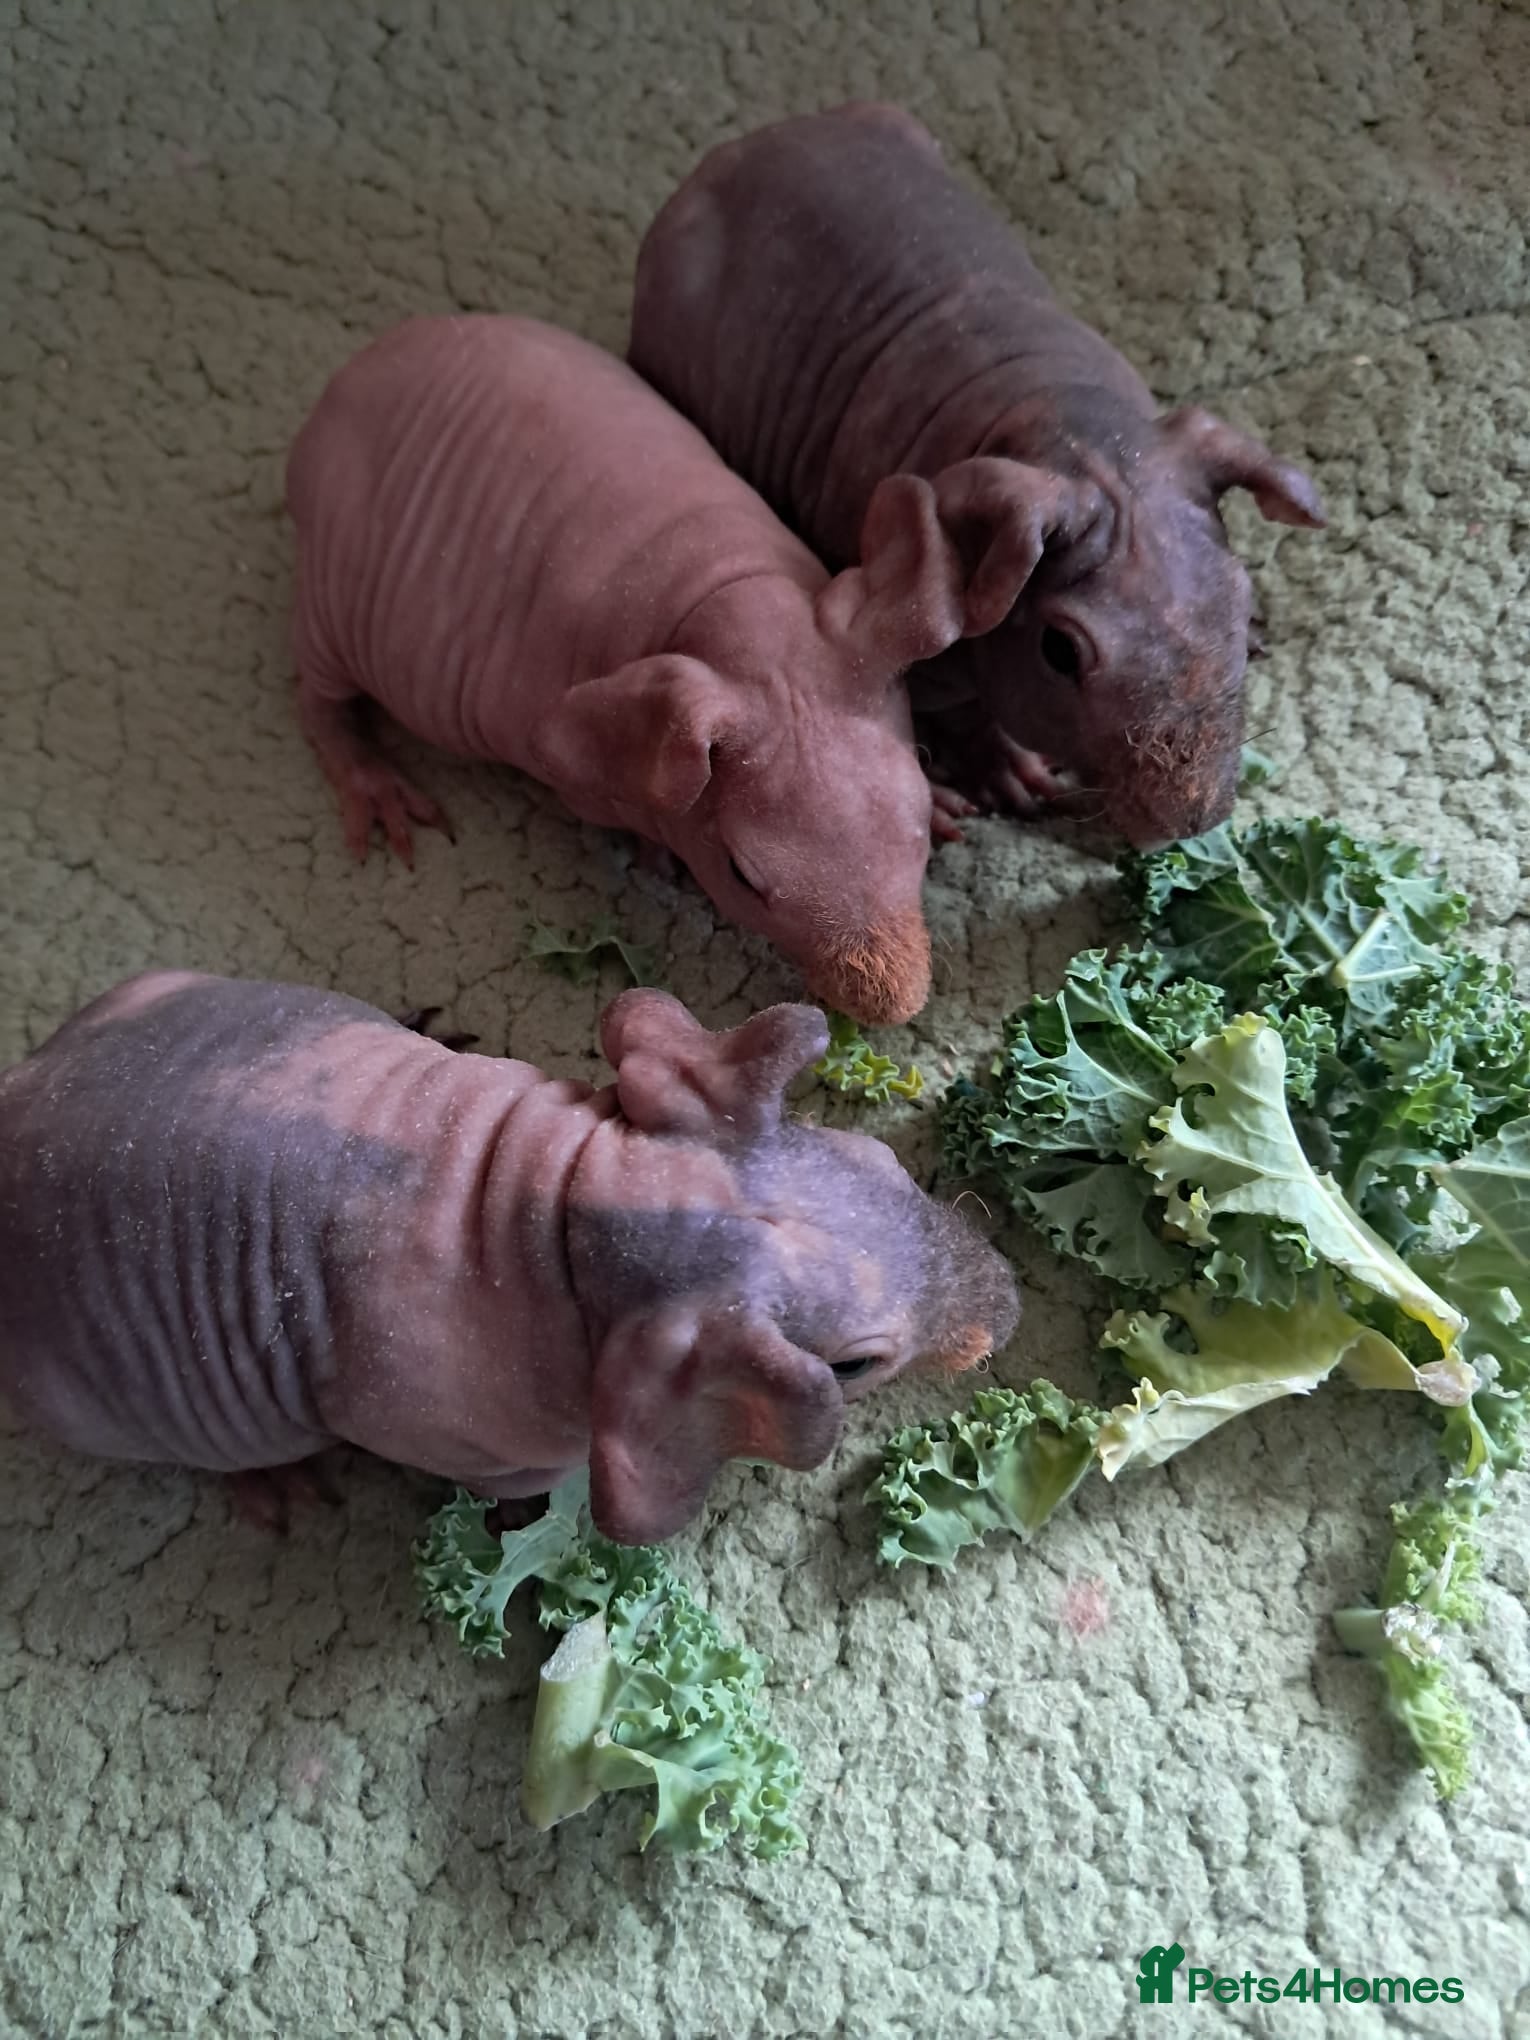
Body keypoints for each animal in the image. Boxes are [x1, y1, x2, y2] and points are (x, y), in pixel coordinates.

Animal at [0, 972, 1019, 1545]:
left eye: (882, 1162)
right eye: (854, 1367)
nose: (1008, 1305)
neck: (563, 1209)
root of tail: (16, 1096)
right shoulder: (477, 1439)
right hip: (111, 1399)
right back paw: (265, 1478)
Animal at [286, 313, 992, 1027]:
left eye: (916, 815)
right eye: (741, 875)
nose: (892, 1003)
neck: (729, 596)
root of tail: (336, 395)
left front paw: (951, 799)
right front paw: (658, 851)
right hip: (331, 590)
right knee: (317, 697)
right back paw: (370, 779)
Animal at [627, 102, 1327, 849]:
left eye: (1240, 605)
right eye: (1060, 651)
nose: (1189, 822)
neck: (1071, 431)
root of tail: (743, 147)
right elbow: (946, 703)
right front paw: (998, 767)